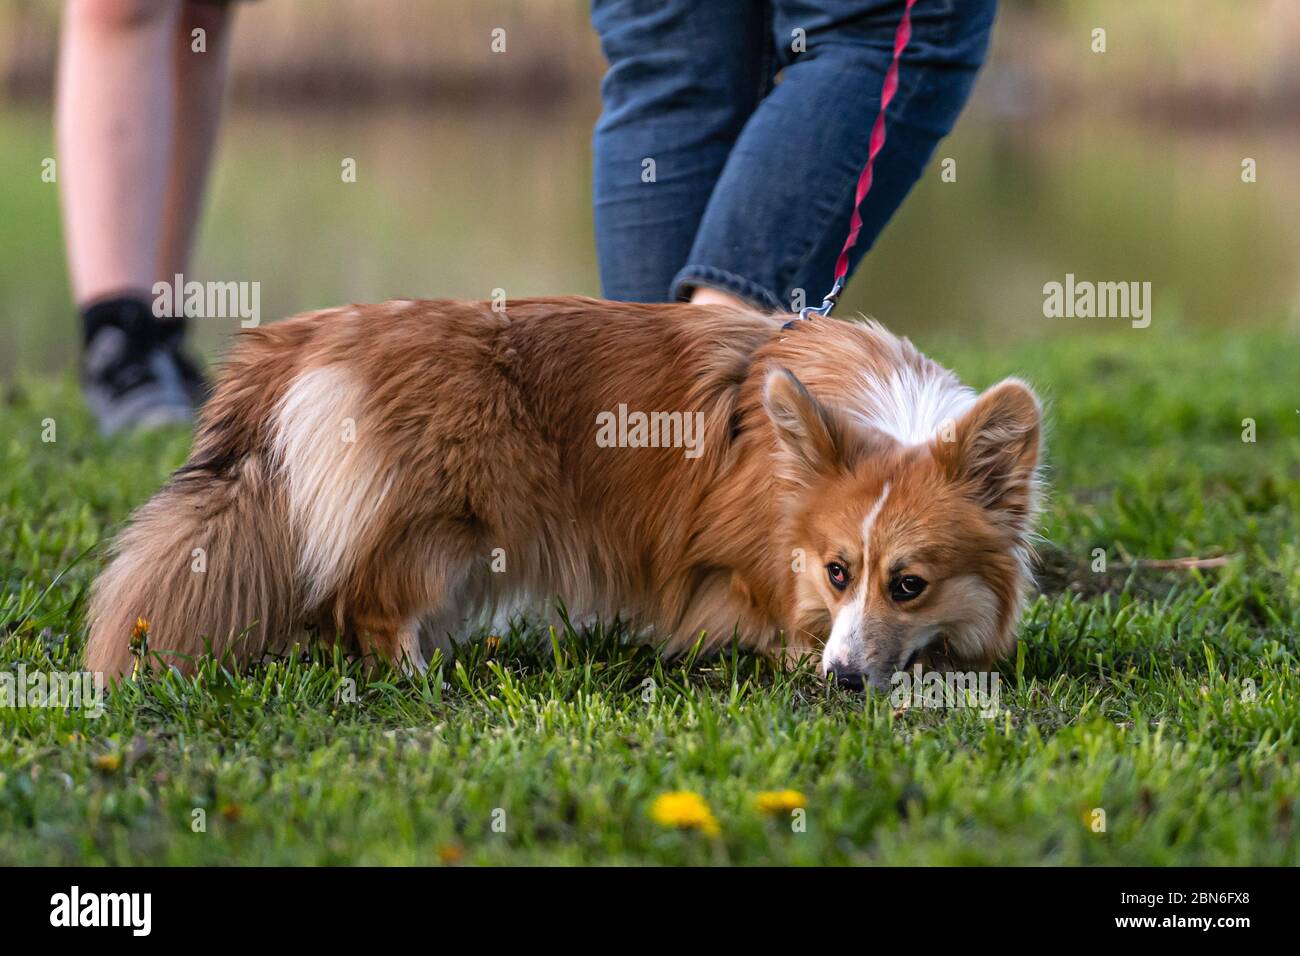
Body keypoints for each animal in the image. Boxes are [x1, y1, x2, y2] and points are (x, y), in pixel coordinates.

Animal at [86, 299, 1040, 686]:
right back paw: (422, 676)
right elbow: (763, 609)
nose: (843, 683)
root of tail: (298, 339)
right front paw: (796, 651)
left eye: (908, 584)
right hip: (446, 526)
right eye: (839, 572)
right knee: (367, 604)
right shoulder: (743, 562)